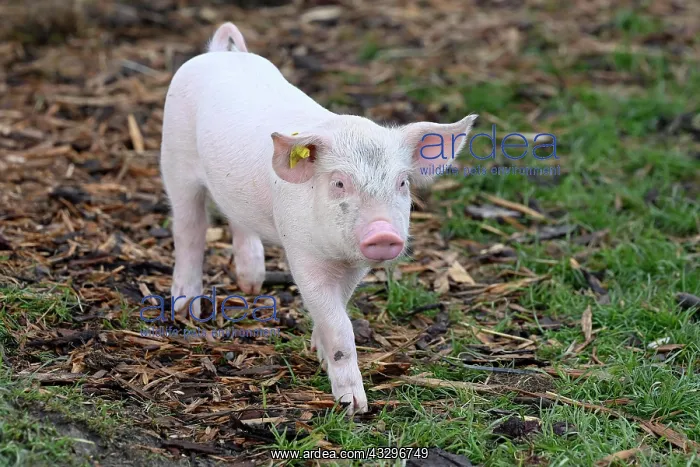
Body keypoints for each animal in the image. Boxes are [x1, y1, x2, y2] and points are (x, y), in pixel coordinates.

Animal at [160, 22, 478, 414]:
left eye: (402, 182)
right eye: (339, 182)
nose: (383, 233)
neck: (337, 254)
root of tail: (219, 53)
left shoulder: (355, 266)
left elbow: (339, 306)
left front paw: (319, 352)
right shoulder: (301, 255)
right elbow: (339, 324)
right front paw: (353, 407)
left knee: (236, 219)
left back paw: (252, 284)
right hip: (174, 161)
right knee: (188, 228)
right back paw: (186, 308)